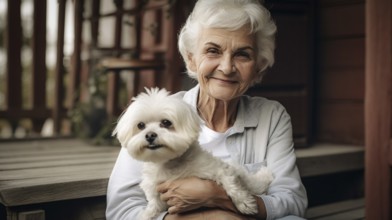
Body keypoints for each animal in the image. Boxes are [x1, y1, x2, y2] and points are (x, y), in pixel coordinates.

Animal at [112, 88, 272, 220]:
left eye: (166, 122)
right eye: (140, 125)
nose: (150, 135)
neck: (170, 163)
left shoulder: (218, 169)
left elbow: (231, 184)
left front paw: (244, 203)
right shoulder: (155, 190)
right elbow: (154, 205)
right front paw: (147, 214)